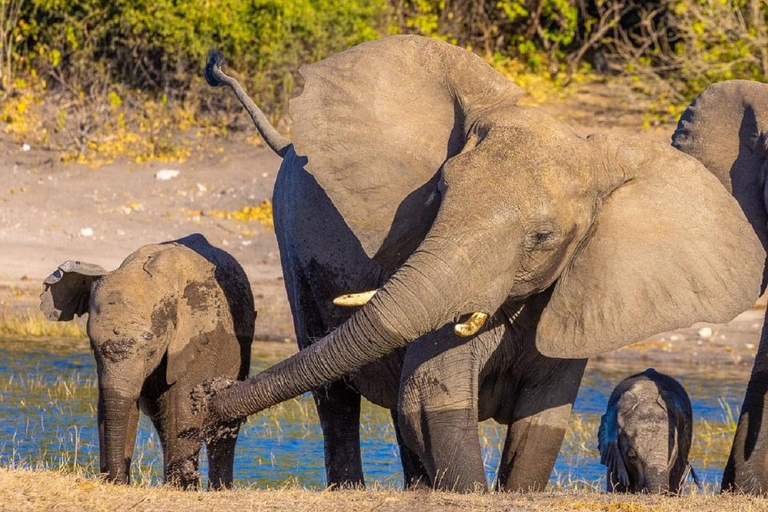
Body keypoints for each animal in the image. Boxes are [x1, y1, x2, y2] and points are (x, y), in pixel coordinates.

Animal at [39, 234, 255, 490]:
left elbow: (184, 407)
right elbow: (114, 405)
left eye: (151, 351)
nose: (117, 479)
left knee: (222, 426)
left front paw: (180, 490)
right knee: (162, 420)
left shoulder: (199, 340)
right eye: (92, 346)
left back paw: (215, 488)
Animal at [202, 37, 760, 492]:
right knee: (333, 393)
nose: (211, 398)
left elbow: (542, 421)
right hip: (291, 238)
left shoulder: (576, 291)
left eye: (543, 237)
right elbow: (433, 397)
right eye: (439, 194)